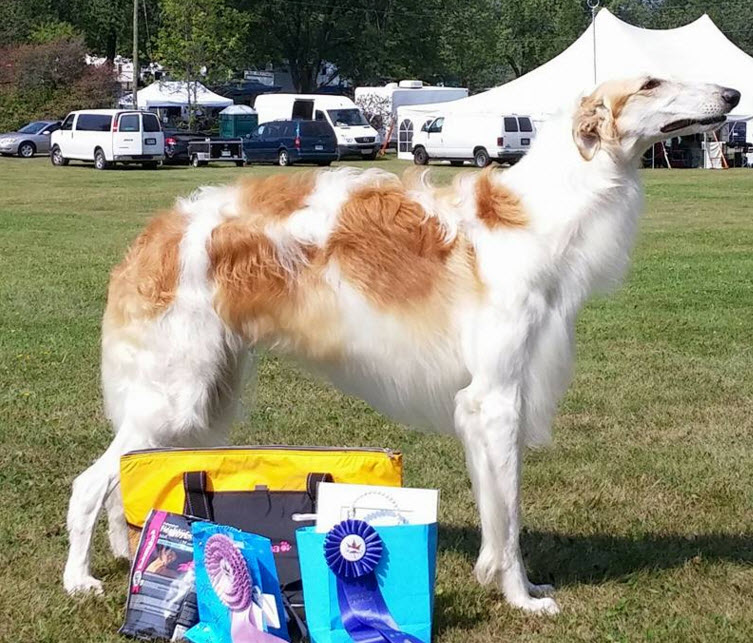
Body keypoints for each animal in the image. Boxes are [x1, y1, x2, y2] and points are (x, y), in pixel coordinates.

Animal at [66, 78, 740, 612]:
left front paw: (505, 582)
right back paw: (80, 581)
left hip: (206, 393)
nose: (732, 95)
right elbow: (511, 516)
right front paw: (523, 599)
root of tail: (157, 232)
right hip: (177, 394)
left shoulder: (488, 403)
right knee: (88, 485)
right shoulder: (497, 399)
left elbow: (496, 512)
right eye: (651, 82)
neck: (538, 217)